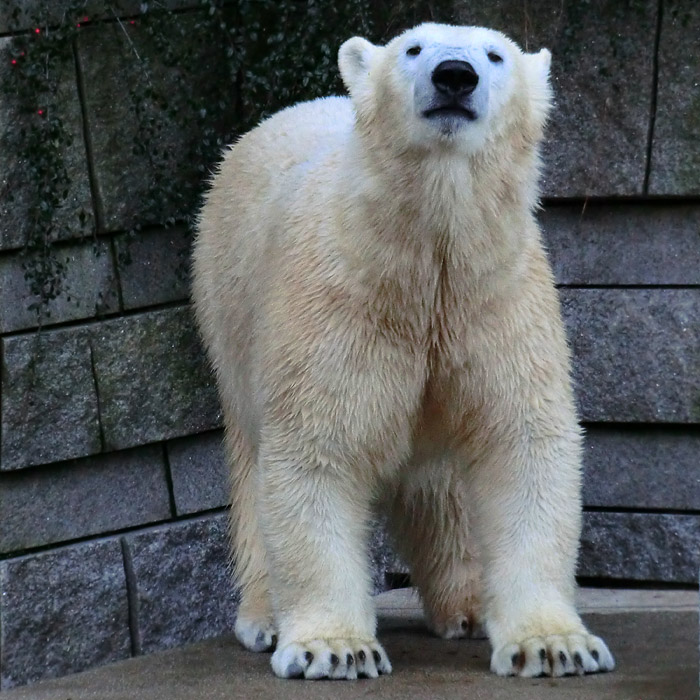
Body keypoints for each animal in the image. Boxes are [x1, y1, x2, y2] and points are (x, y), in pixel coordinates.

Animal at [191, 20, 612, 680]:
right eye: (413, 48)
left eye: (495, 54)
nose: (454, 75)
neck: (424, 263)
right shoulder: (338, 304)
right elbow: (318, 450)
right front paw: (335, 649)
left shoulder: (495, 301)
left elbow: (520, 442)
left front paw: (554, 645)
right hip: (226, 307)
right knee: (252, 458)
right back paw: (264, 618)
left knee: (440, 482)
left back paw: (469, 605)